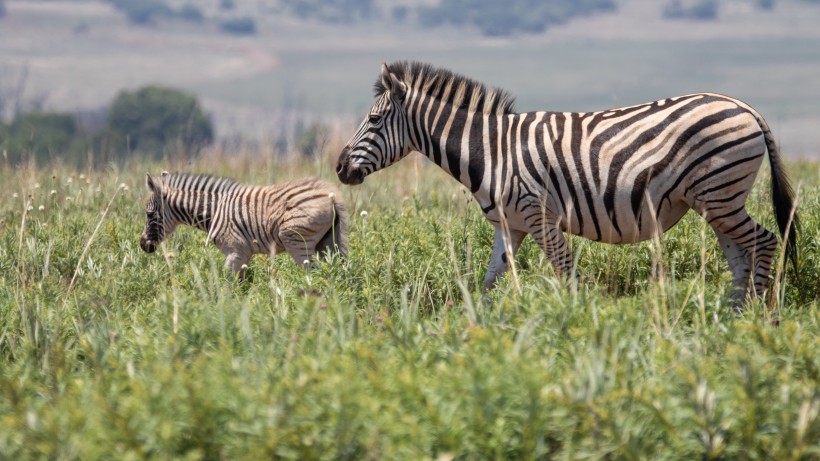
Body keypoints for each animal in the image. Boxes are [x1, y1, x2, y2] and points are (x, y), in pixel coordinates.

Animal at [141, 171, 346, 274]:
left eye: (149, 214)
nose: (143, 245)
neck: (214, 212)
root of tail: (331, 195)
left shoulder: (235, 250)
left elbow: (226, 282)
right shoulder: (244, 254)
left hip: (298, 242)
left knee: (314, 273)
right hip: (328, 242)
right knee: (335, 269)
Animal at [336, 60, 796, 306]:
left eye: (373, 120)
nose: (340, 168)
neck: (491, 151)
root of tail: (744, 106)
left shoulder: (540, 216)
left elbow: (566, 275)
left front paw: (576, 327)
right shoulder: (509, 225)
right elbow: (490, 280)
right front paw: (475, 330)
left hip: (721, 196)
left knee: (766, 242)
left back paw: (758, 317)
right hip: (715, 202)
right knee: (739, 258)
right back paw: (729, 321)